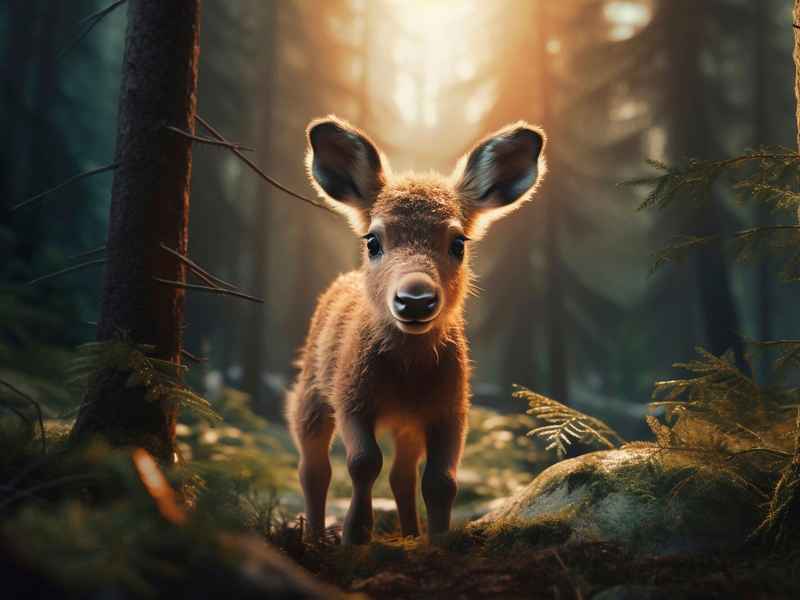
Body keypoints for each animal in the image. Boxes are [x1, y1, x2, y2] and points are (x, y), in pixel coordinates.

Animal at [286, 116, 546, 545]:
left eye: (458, 242)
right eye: (372, 240)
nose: (415, 299)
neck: (405, 377)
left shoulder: (452, 408)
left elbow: (442, 481)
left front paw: (437, 541)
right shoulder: (351, 397)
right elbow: (362, 463)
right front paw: (355, 536)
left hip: (407, 425)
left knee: (402, 475)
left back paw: (409, 533)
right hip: (310, 393)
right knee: (313, 468)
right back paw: (313, 538)